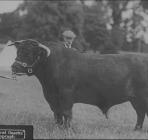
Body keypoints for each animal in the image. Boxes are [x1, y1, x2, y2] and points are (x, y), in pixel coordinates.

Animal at [11, 38, 148, 130]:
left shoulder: (66, 96)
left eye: (30, 53)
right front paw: (58, 127)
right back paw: (136, 129)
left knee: (141, 113)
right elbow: (57, 114)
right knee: (140, 113)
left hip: (141, 98)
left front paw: (67, 129)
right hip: (136, 100)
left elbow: (66, 113)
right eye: (18, 52)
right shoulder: (52, 98)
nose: (14, 67)